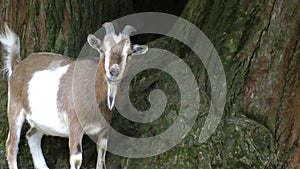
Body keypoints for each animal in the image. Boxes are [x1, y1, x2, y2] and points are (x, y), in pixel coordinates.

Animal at [0, 22, 149, 169]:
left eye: (129, 54)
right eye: (102, 50)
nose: (114, 72)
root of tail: (18, 65)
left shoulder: (104, 128)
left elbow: (101, 155)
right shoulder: (75, 126)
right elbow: (76, 159)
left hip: (40, 121)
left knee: (31, 136)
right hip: (14, 107)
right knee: (11, 145)